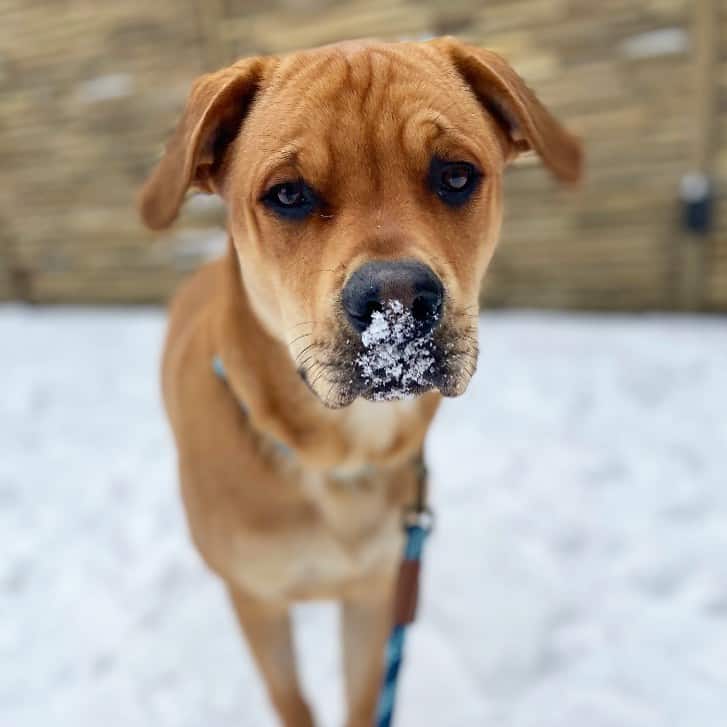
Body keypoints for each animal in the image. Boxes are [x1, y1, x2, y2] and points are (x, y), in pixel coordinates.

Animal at [139, 37, 584, 724]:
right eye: (288, 194)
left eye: (456, 175)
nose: (397, 301)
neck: (335, 456)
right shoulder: (258, 602)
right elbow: (291, 697)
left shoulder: (377, 594)